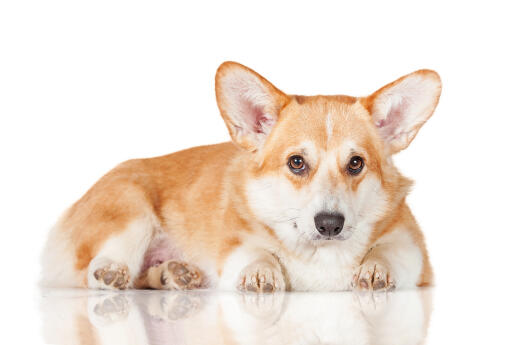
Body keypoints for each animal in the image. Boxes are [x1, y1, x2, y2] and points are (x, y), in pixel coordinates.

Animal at [42, 61, 442, 290]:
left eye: (356, 164)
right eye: (297, 162)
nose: (330, 224)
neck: (319, 255)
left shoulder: (412, 248)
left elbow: (387, 252)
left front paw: (375, 269)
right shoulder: (235, 245)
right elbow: (258, 253)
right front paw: (262, 272)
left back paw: (176, 275)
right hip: (130, 208)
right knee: (93, 268)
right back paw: (111, 272)